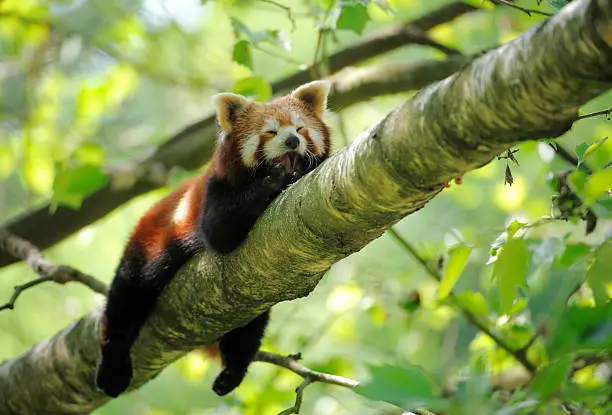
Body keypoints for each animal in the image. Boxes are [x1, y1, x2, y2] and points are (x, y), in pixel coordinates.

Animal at [95, 82, 332, 400]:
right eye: (270, 132)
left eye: (300, 128)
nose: (292, 141)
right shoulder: (214, 188)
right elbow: (219, 231)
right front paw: (275, 177)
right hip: (148, 247)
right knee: (126, 298)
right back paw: (113, 366)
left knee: (248, 329)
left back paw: (231, 373)